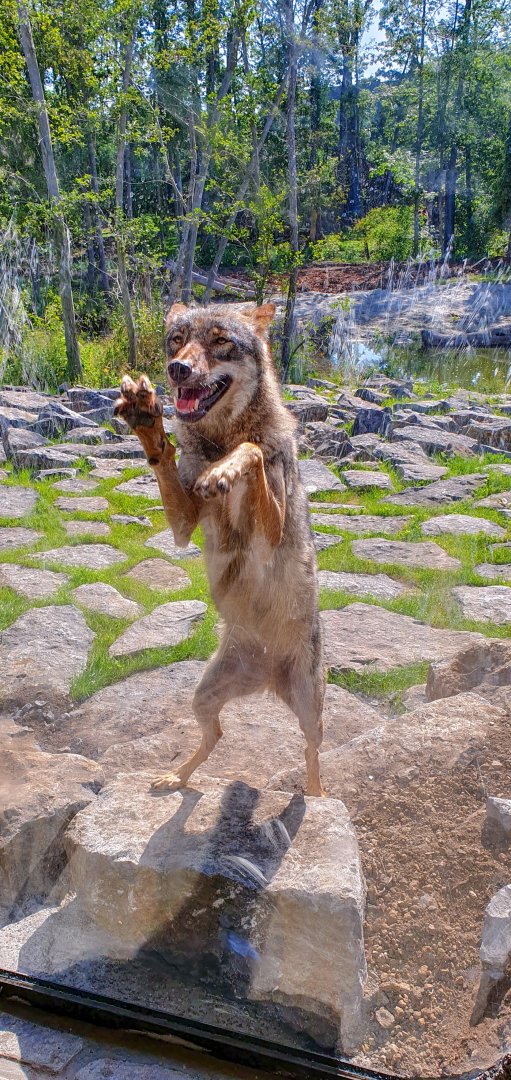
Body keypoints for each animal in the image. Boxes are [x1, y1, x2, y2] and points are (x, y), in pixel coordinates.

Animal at [114, 302, 325, 796]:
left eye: (220, 341)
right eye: (177, 341)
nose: (178, 369)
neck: (218, 439)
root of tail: (268, 678)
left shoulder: (271, 532)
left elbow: (252, 450)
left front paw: (226, 471)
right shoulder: (183, 525)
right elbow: (166, 463)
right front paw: (147, 420)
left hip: (310, 708)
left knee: (312, 752)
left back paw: (318, 794)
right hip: (204, 694)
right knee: (217, 734)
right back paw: (176, 777)